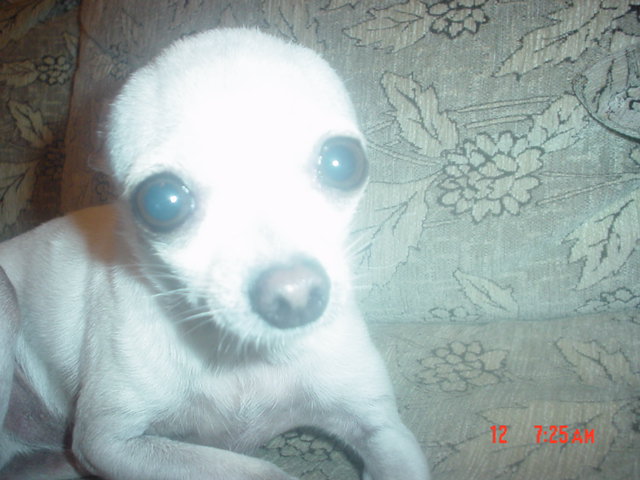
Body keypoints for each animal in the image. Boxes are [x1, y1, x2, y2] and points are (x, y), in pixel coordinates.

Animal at [0, 28, 429, 479]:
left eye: (343, 162)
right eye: (161, 202)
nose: (294, 293)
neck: (243, 357)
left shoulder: (382, 431)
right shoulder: (110, 444)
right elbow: (263, 470)